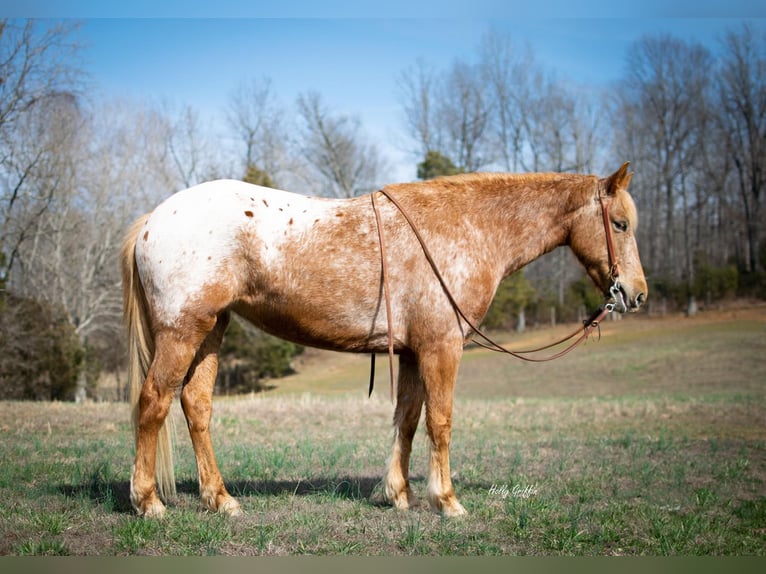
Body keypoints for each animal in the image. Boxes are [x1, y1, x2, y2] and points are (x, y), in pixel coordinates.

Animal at [121, 161, 648, 516]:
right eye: (619, 224)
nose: (636, 294)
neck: (465, 227)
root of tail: (153, 219)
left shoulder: (414, 351)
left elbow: (408, 419)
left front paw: (400, 495)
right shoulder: (441, 347)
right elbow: (440, 421)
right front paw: (447, 501)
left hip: (212, 330)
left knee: (196, 406)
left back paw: (221, 500)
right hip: (183, 332)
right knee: (154, 402)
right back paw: (148, 502)